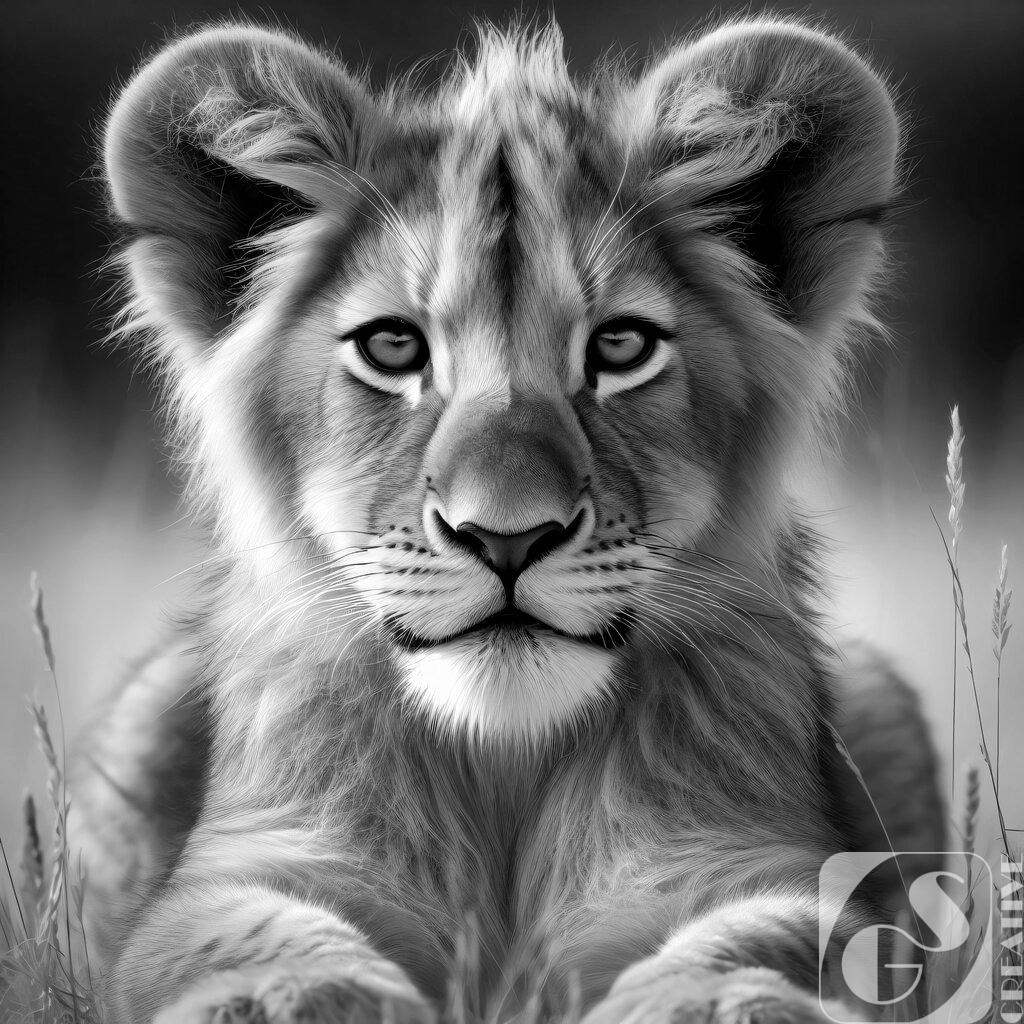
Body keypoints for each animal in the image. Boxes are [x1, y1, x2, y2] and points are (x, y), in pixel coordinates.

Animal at [71, 17, 944, 1024]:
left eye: (621, 345)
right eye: (393, 346)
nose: (507, 538)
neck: (505, 765)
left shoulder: (755, 865)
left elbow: (778, 932)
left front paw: (713, 1002)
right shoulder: (242, 869)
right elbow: (244, 930)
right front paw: (294, 994)